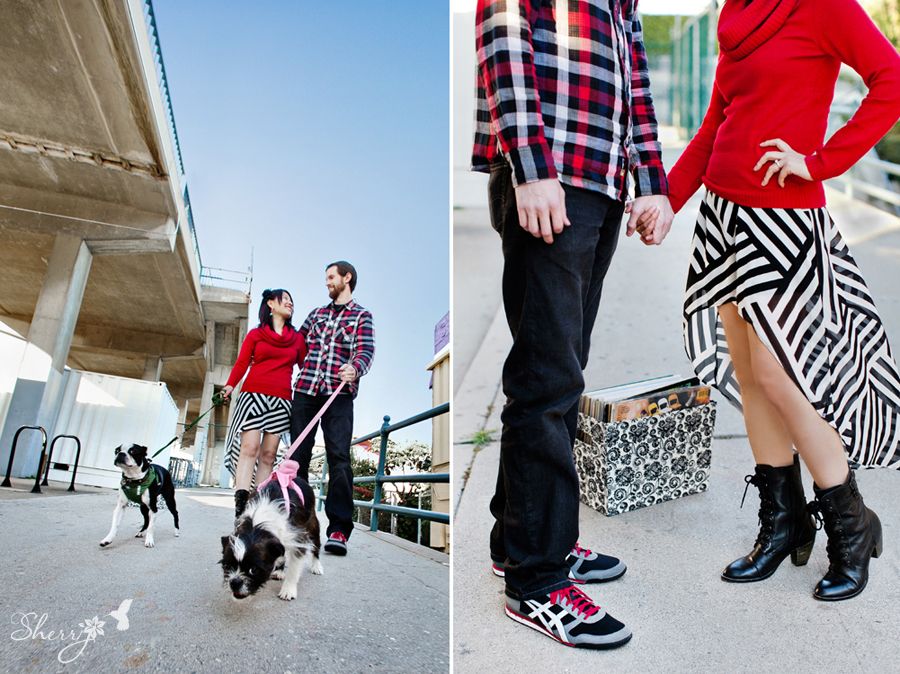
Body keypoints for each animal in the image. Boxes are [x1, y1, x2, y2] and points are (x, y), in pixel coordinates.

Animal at [219, 472, 324, 600]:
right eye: (227, 566)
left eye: (253, 570)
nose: (235, 582)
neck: (257, 526)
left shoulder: (298, 538)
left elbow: (294, 568)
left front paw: (288, 590)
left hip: (313, 526)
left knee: (316, 546)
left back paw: (316, 566)